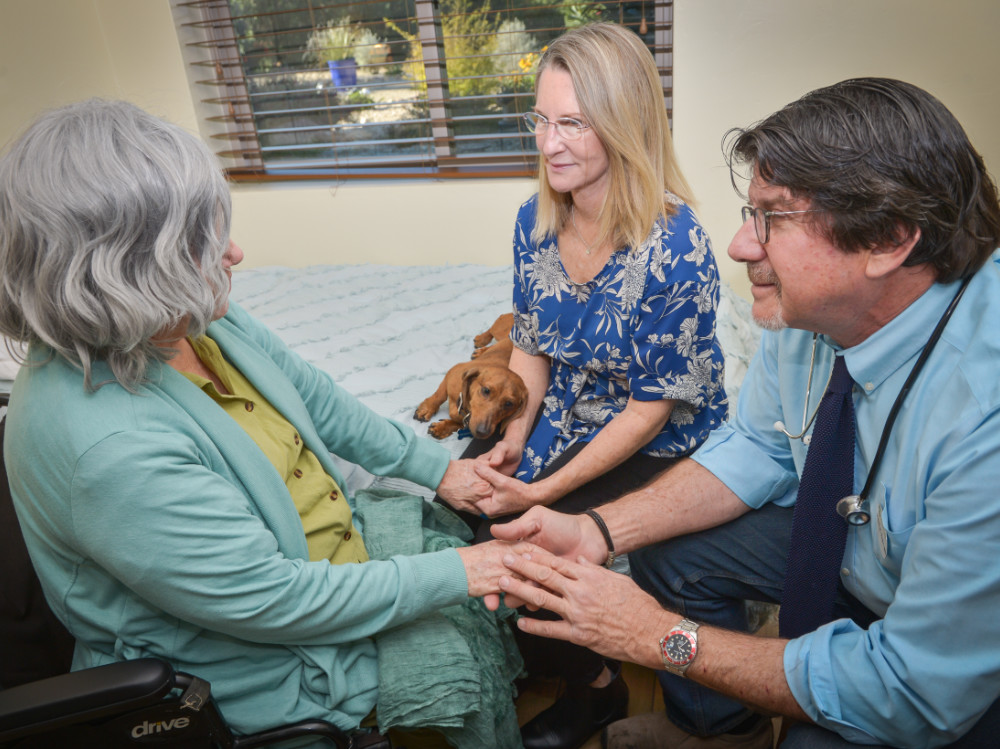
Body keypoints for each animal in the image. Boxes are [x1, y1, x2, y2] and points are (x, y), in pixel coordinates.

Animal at [412, 314, 528, 442]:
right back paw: (481, 339)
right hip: (501, 330)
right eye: (486, 390)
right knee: (492, 330)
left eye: (509, 404)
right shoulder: (452, 373)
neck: (466, 408)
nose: (483, 432)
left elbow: (458, 424)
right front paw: (426, 409)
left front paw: (442, 428)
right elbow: (439, 396)